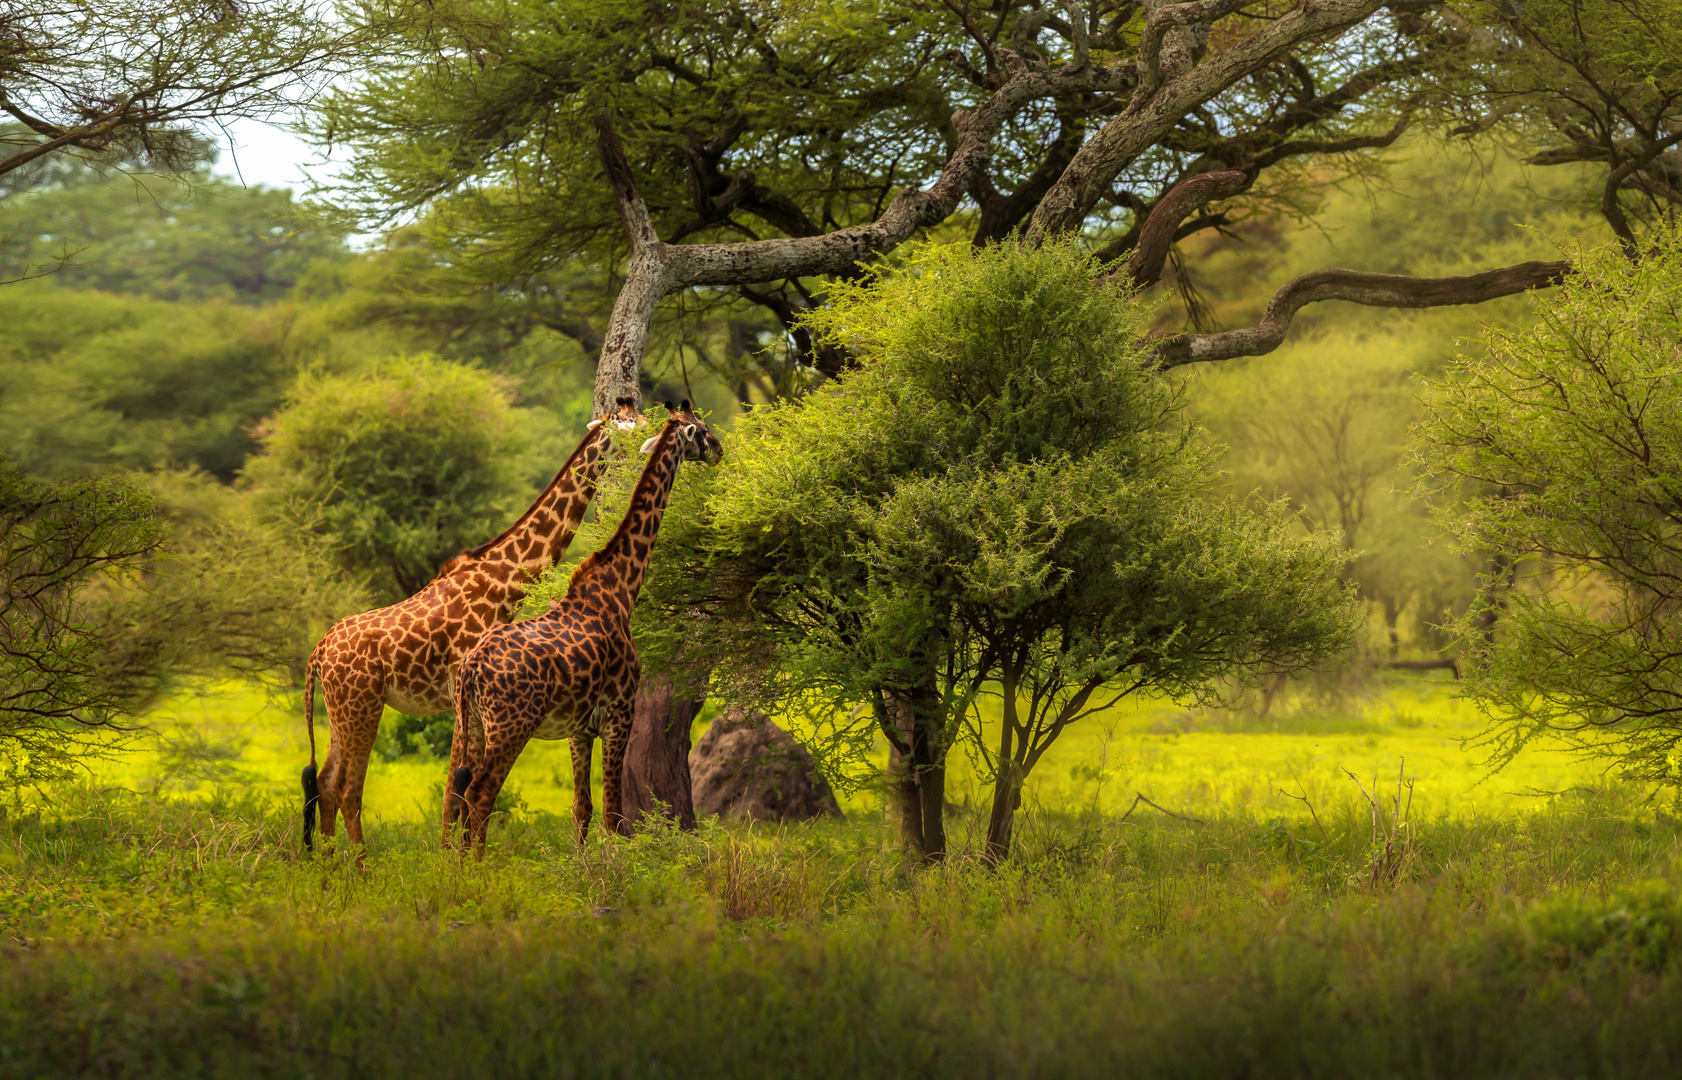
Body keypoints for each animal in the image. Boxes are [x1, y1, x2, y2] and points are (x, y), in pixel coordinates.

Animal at [299, 395, 645, 847]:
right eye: (630, 425)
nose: (653, 436)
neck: (504, 579)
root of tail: (318, 653)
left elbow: (454, 789)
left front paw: (450, 853)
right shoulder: (462, 690)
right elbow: (452, 789)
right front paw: (449, 857)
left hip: (340, 709)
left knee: (324, 784)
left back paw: (327, 862)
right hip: (362, 707)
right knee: (346, 789)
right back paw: (359, 864)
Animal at [440, 400, 723, 844]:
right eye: (704, 430)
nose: (720, 450)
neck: (622, 586)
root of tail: (471, 670)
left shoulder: (579, 727)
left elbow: (581, 808)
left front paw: (583, 861)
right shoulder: (620, 711)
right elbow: (615, 815)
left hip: (472, 724)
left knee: (457, 790)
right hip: (510, 727)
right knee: (481, 792)